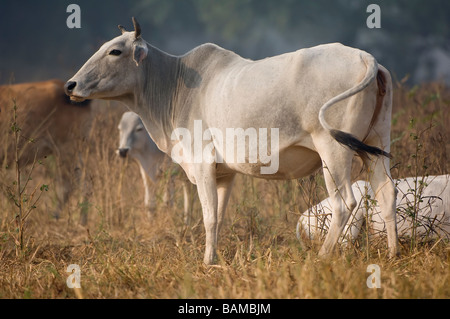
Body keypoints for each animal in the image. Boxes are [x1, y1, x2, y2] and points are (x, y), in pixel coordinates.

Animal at [66, 18, 398, 264]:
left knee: (344, 203)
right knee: (386, 195)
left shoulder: (202, 164)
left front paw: (206, 263)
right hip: (377, 144)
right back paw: (393, 255)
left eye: (115, 51)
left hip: (333, 149)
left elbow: (208, 216)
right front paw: (213, 258)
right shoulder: (224, 174)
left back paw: (323, 257)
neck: (174, 86)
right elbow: (219, 217)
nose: (71, 85)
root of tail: (364, 56)